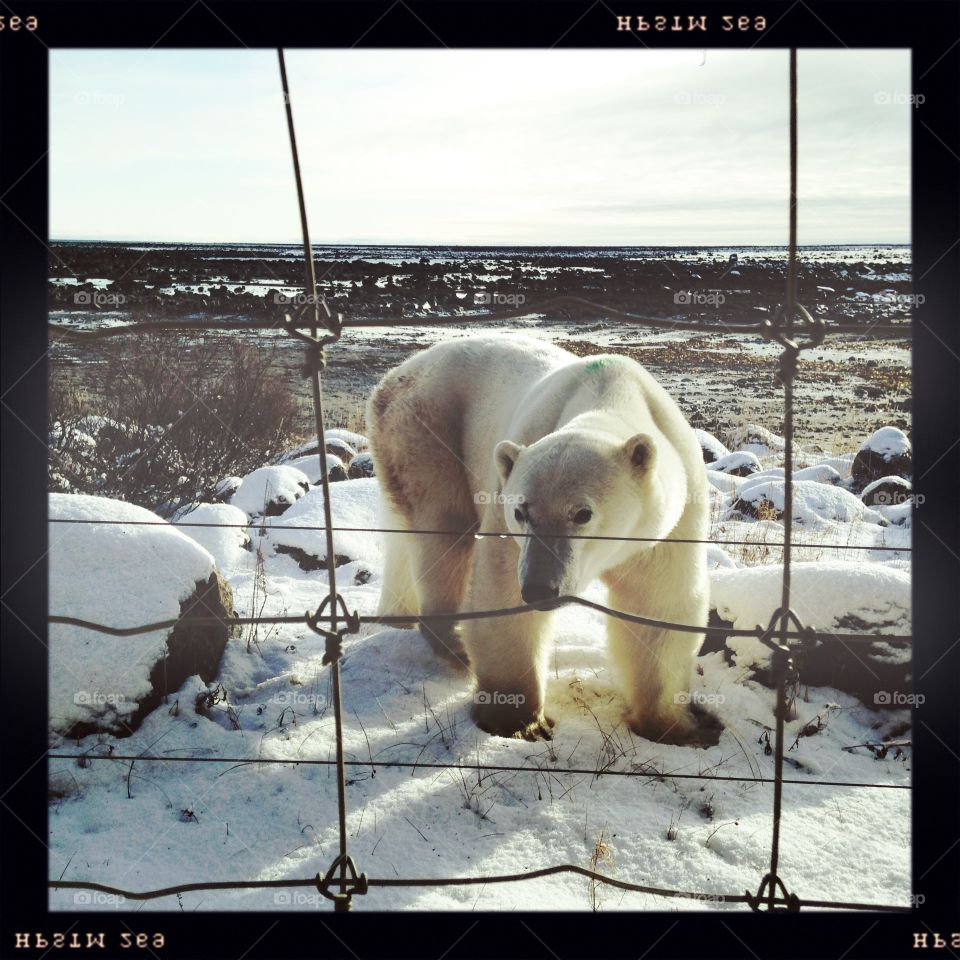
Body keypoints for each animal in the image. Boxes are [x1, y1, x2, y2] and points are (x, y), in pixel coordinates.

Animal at [367, 333, 714, 744]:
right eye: (521, 511)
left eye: (582, 513)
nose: (539, 588)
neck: (610, 394)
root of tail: (392, 375)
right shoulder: (506, 497)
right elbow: (501, 597)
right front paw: (519, 722)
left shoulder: (669, 526)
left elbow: (658, 607)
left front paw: (675, 727)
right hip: (426, 431)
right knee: (443, 532)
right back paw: (454, 645)